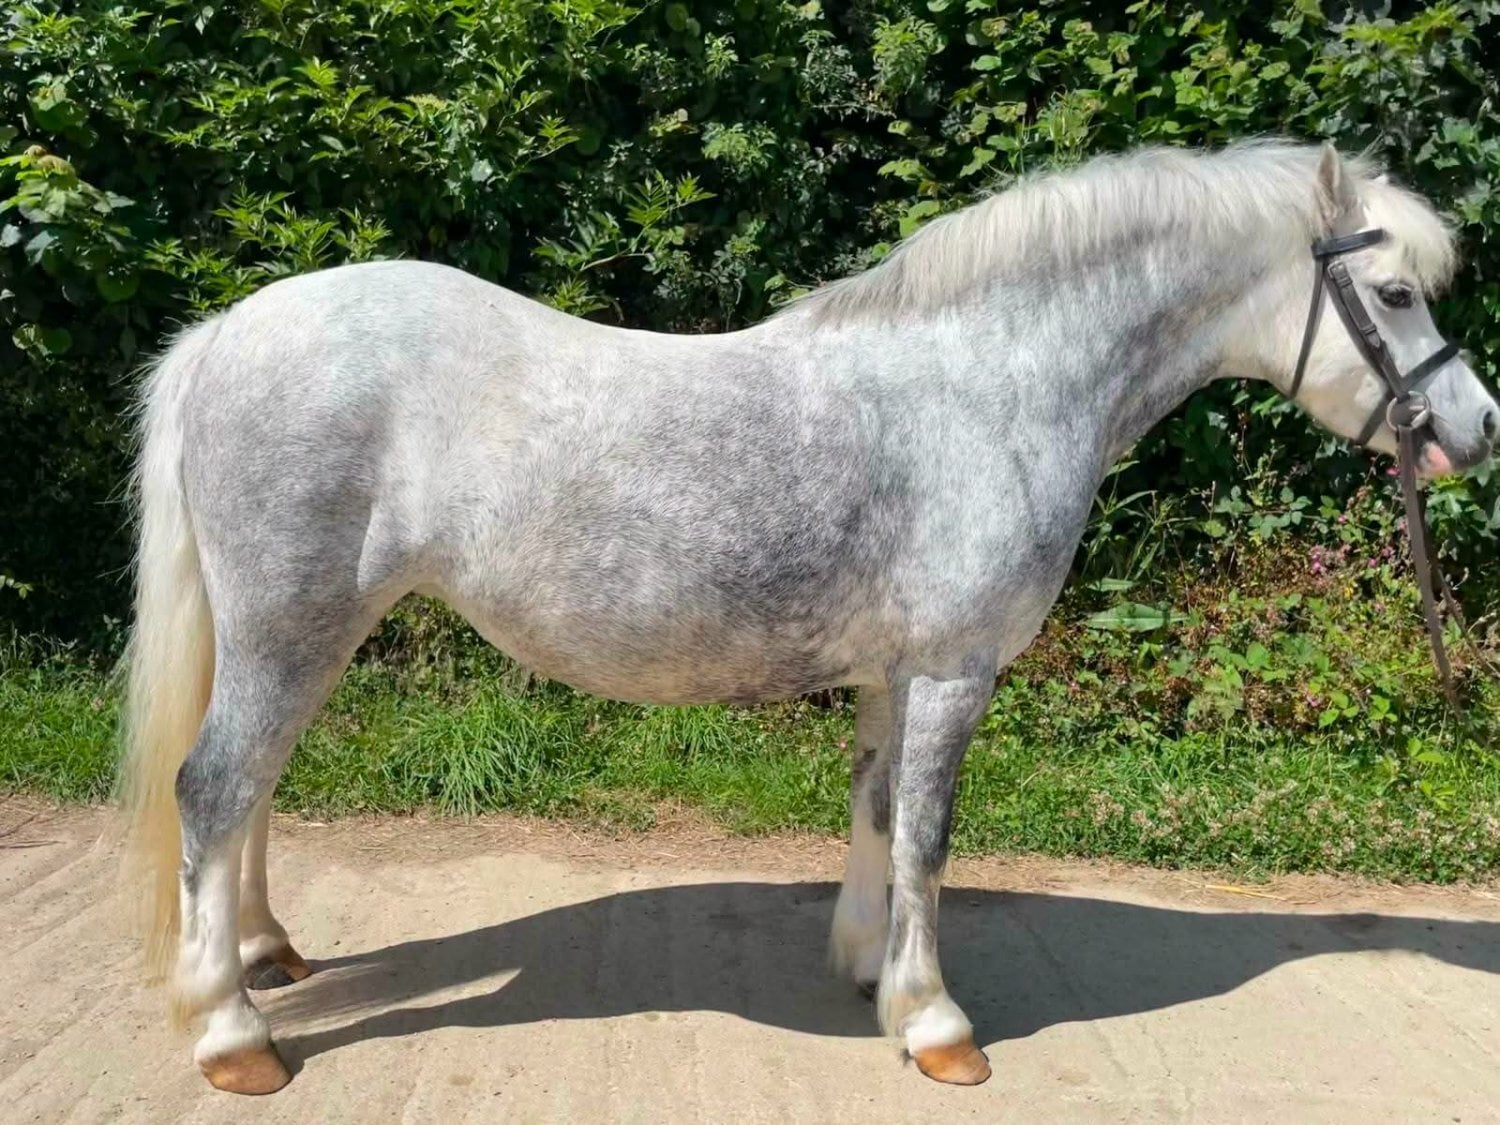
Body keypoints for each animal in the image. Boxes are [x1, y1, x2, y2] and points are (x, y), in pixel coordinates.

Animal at [121, 140, 1497, 1094]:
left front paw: (870, 969)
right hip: (294, 630)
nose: (1477, 428)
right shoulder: (953, 671)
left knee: (250, 791)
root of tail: (232, 329)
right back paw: (233, 1036)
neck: (992, 384)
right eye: (1395, 293)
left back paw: (264, 957)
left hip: (292, 635)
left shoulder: (897, 676)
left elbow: (879, 815)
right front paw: (938, 1028)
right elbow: (932, 840)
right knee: (215, 788)